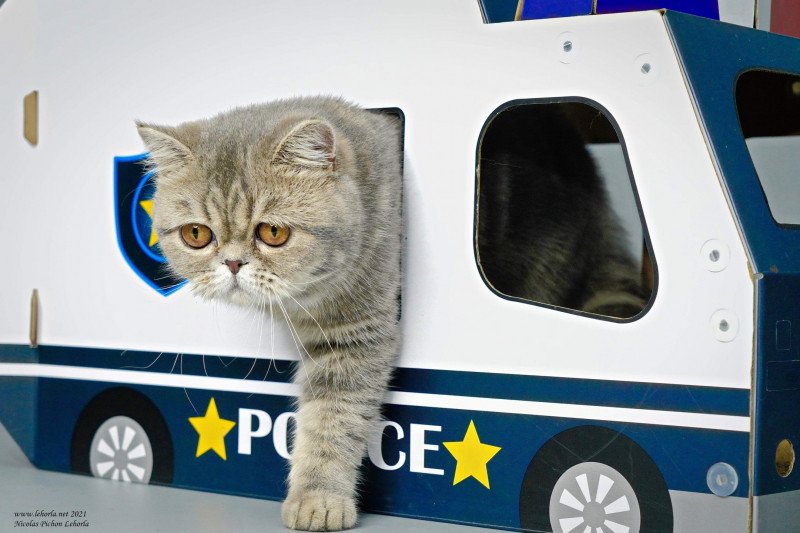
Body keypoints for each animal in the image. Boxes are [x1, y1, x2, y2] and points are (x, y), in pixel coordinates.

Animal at [138, 96, 404, 532]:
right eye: (196, 234)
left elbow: (332, 419)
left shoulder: (354, 335)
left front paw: (318, 498)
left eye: (273, 233)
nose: (232, 263)